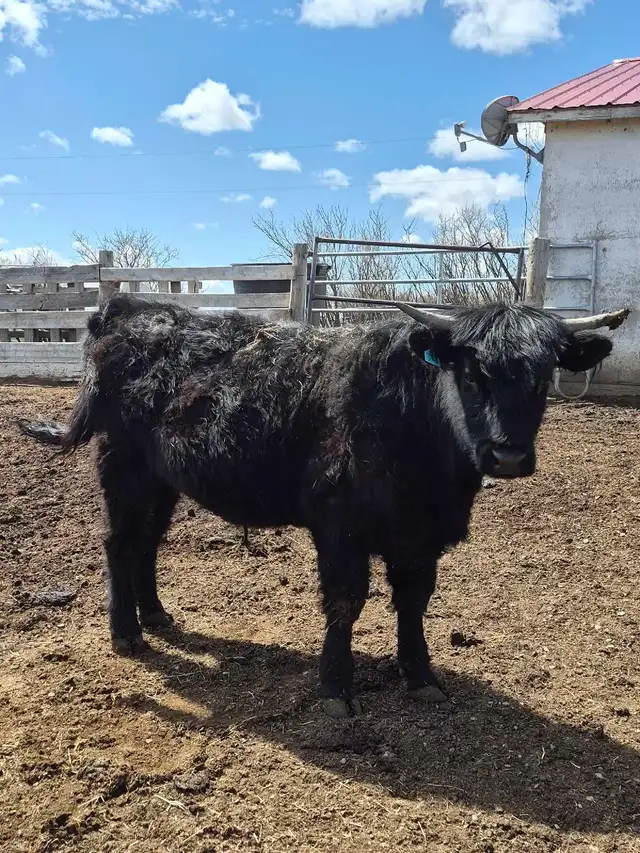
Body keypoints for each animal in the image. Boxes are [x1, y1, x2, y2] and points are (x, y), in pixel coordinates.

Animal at [17, 294, 629, 717]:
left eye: (544, 375)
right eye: (472, 372)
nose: (508, 455)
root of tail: (126, 309)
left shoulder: (423, 537)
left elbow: (414, 603)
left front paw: (421, 676)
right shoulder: (339, 528)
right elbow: (345, 602)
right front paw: (336, 687)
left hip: (162, 478)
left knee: (147, 542)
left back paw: (158, 616)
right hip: (123, 466)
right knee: (119, 541)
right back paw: (126, 632)